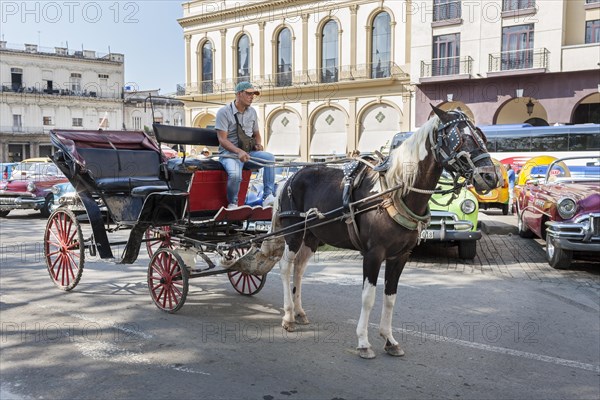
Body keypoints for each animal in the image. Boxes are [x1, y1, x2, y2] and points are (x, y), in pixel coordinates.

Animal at [262, 104, 502, 358]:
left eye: (482, 137)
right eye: (460, 137)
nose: (490, 176)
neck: (395, 192)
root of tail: (290, 178)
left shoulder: (401, 256)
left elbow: (390, 297)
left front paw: (389, 339)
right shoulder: (373, 254)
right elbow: (368, 297)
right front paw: (363, 342)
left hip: (312, 237)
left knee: (299, 269)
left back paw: (299, 311)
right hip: (294, 233)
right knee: (286, 266)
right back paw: (288, 315)